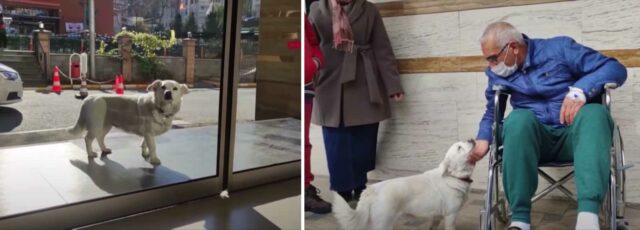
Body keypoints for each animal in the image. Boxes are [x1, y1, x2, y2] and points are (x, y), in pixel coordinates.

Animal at [332, 140, 478, 230]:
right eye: (459, 148)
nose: (471, 139)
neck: (453, 176)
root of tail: (371, 190)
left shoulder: (437, 217)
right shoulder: (451, 216)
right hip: (383, 224)